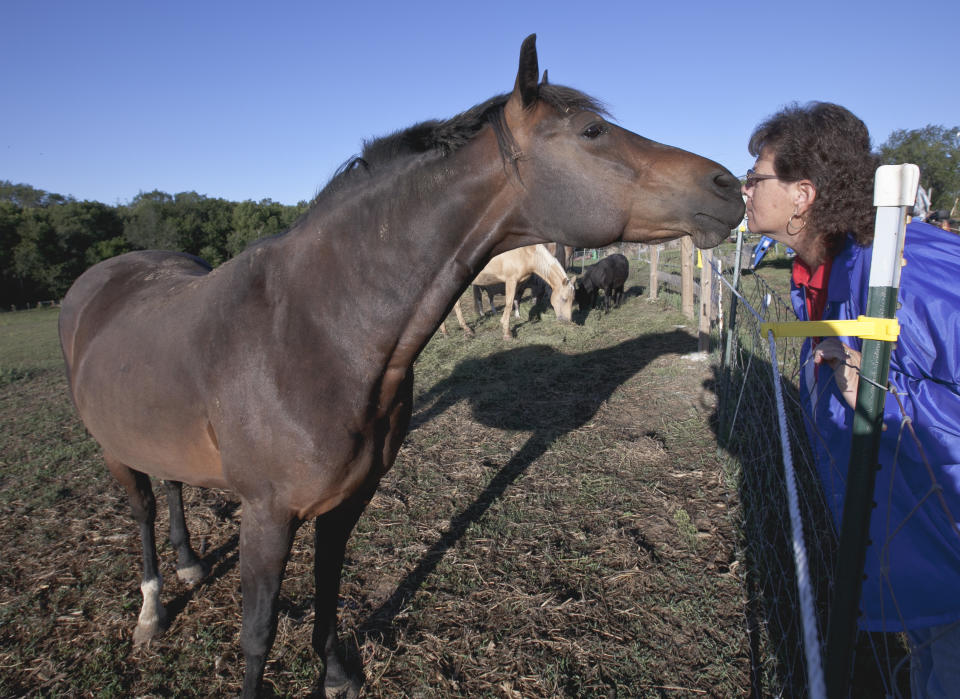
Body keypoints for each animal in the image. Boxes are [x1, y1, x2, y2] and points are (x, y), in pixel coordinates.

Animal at [440, 243, 568, 340]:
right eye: (564, 299)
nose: (565, 320)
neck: (527, 253)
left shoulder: (518, 284)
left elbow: (514, 302)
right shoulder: (511, 280)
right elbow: (510, 303)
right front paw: (507, 334)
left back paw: (448, 332)